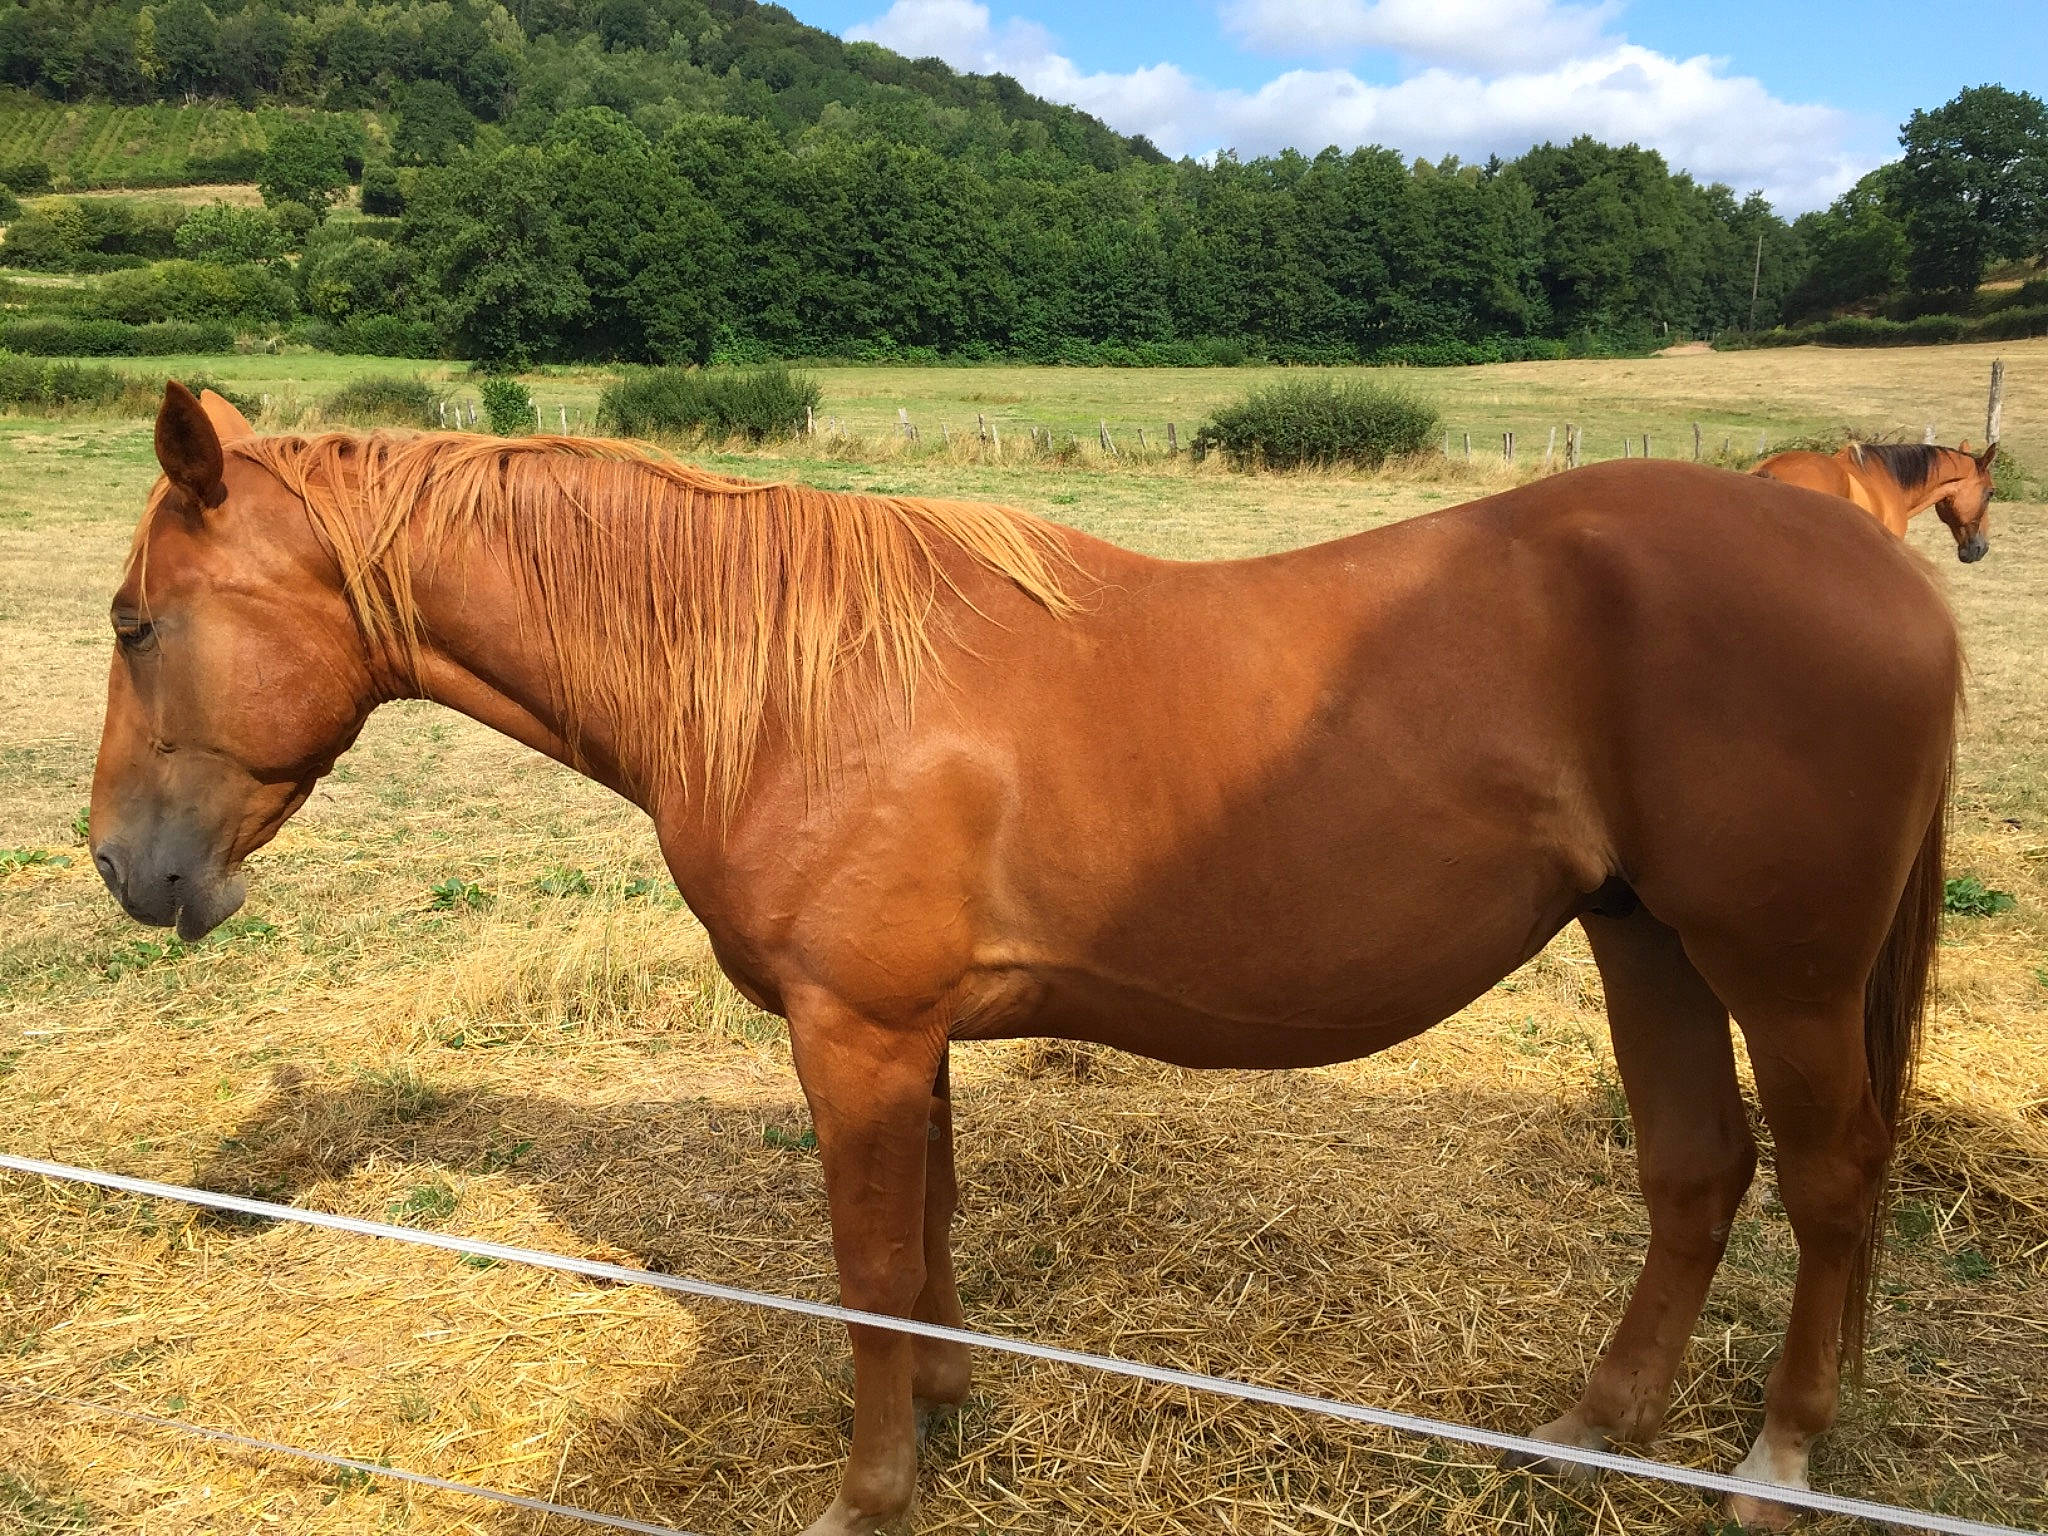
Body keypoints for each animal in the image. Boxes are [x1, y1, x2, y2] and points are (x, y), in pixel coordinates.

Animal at [92, 383, 1960, 1535]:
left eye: (132, 623)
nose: (127, 864)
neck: (798, 683)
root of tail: (1869, 559)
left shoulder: (852, 1036)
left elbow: (864, 1266)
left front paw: (864, 1491)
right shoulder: (901, 1038)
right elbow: (924, 1245)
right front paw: (943, 1415)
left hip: (1782, 973)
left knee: (1830, 1185)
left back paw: (1777, 1454)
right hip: (1646, 940)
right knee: (1694, 1172)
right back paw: (1593, 1427)